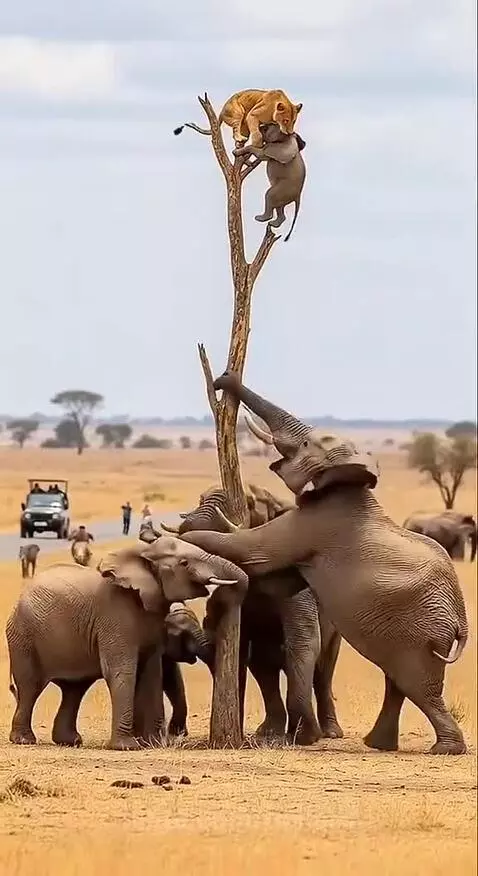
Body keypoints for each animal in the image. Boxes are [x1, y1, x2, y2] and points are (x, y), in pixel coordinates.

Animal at [6, 536, 248, 751]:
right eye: (184, 563)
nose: (217, 603)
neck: (143, 554)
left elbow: (152, 672)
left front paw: (151, 744)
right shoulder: (115, 616)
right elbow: (122, 670)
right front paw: (127, 747)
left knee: (74, 689)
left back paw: (70, 741)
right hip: (23, 637)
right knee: (30, 686)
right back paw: (24, 740)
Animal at [162, 485, 342, 743]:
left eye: (247, 503)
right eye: (200, 499)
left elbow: (303, 641)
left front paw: (305, 737)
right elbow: (233, 648)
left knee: (322, 671)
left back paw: (328, 732)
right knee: (264, 667)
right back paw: (269, 733)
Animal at [174, 89, 303, 149]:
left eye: (294, 121)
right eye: (286, 120)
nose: (290, 132)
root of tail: (221, 111)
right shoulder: (253, 114)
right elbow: (256, 132)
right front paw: (258, 143)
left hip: (243, 122)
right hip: (238, 113)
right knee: (235, 131)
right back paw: (240, 138)